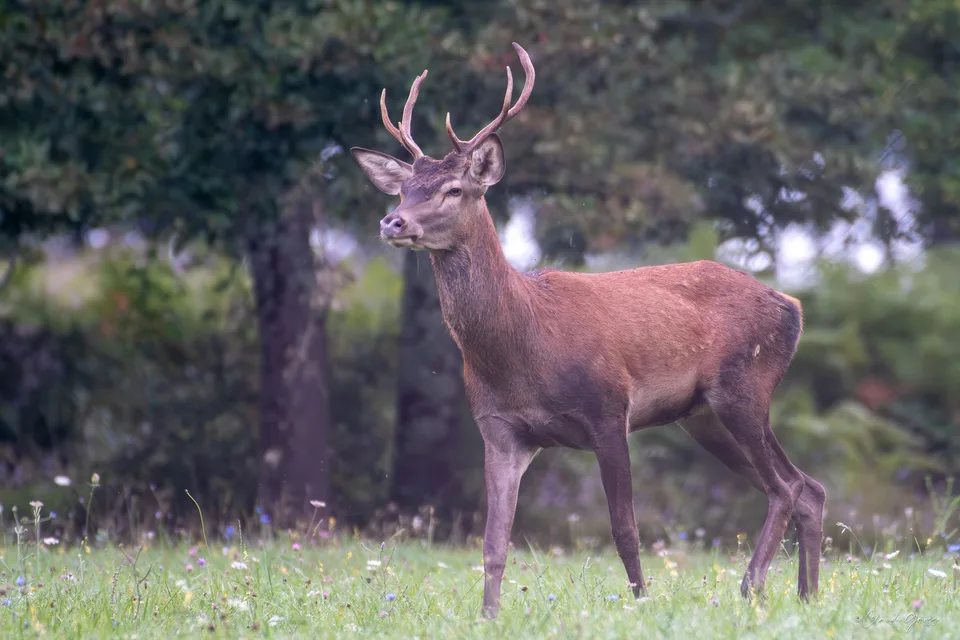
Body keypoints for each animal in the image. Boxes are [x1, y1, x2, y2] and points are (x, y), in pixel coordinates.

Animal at [350, 42, 826, 618]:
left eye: (453, 188)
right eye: (404, 188)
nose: (392, 221)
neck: (523, 347)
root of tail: (793, 306)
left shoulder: (608, 408)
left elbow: (625, 530)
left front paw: (642, 604)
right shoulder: (498, 428)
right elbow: (493, 542)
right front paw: (488, 616)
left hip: (744, 384)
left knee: (786, 485)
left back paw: (751, 586)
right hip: (703, 415)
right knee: (808, 486)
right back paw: (806, 596)